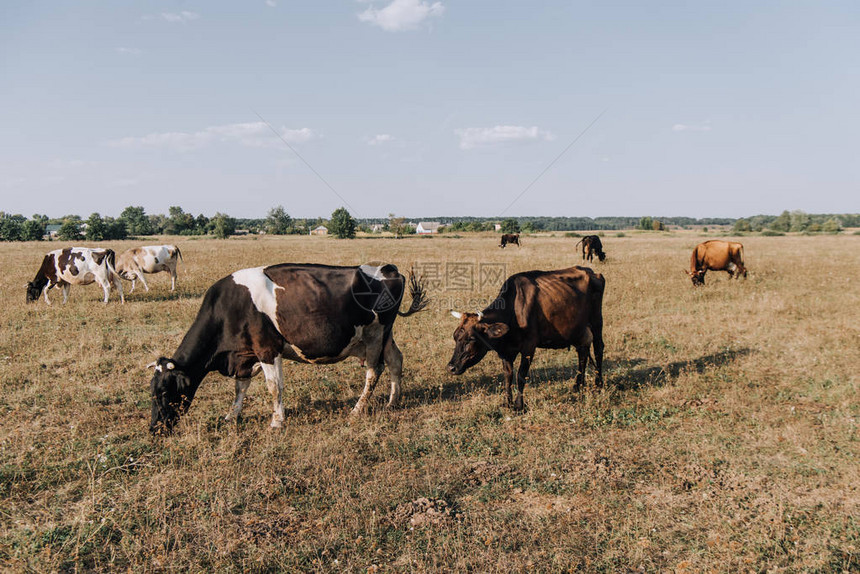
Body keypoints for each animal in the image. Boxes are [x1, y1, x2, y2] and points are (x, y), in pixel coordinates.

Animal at [150, 264, 430, 434]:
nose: (154, 429)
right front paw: (232, 416)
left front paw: (277, 421)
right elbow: (240, 388)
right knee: (396, 361)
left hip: (374, 335)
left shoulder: (267, 349)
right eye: (151, 392)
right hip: (386, 335)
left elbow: (274, 387)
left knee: (374, 371)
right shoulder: (245, 355)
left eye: (164, 392)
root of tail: (389, 269)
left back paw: (357, 410)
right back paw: (393, 401)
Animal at [450, 268, 604, 412]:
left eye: (471, 339)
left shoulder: (529, 347)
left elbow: (521, 375)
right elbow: (508, 376)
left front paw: (519, 405)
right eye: (455, 337)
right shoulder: (506, 352)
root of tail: (590, 271)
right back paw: (578, 385)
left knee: (598, 349)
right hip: (577, 329)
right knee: (582, 353)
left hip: (596, 322)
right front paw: (507, 403)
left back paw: (598, 384)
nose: (451, 367)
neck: (514, 311)